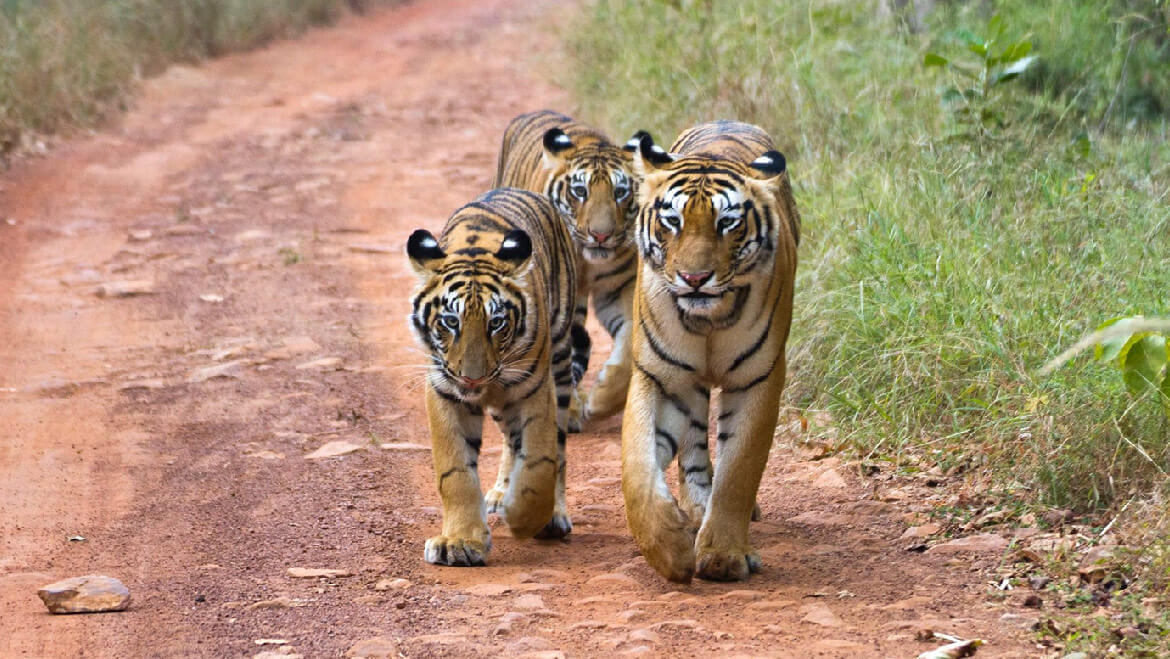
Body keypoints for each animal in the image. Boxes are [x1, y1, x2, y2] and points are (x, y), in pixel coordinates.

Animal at [407, 187, 585, 566]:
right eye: (451, 321)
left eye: (497, 322)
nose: (473, 379)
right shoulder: (445, 391)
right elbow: (455, 472)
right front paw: (459, 542)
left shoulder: (535, 388)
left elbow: (539, 460)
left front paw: (527, 517)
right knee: (509, 441)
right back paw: (502, 492)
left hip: (561, 363)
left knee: (556, 446)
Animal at [489, 108, 645, 428]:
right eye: (580, 191)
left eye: (621, 193)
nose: (601, 235)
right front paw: (572, 408)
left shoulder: (620, 288)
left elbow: (626, 350)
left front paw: (601, 399)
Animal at [617, 119, 800, 582]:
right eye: (673, 221)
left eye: (727, 223)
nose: (694, 278)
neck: (708, 320)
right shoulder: (660, 377)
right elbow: (637, 468)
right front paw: (669, 548)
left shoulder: (758, 377)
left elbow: (739, 469)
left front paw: (723, 556)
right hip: (688, 385)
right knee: (695, 446)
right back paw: (695, 506)